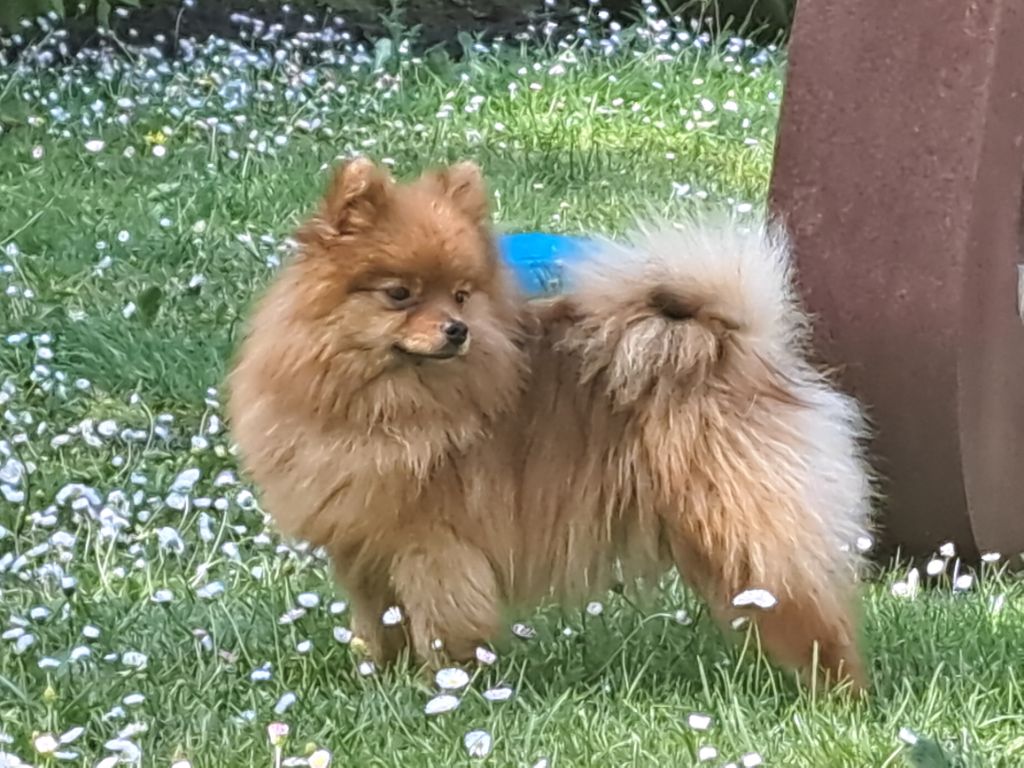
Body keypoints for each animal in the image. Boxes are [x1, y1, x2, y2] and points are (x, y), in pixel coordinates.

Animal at [226, 157, 875, 692]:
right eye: (399, 294)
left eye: (459, 295)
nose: (457, 331)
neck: (383, 402)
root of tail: (738, 347)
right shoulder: (363, 551)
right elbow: (381, 623)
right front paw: (382, 676)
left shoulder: (434, 549)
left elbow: (441, 626)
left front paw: (444, 689)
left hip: (749, 536)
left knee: (819, 621)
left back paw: (838, 697)